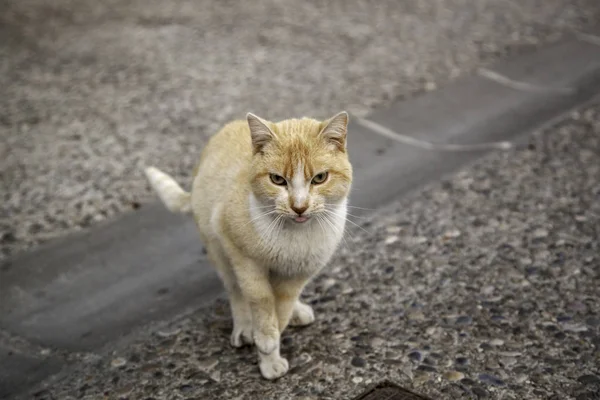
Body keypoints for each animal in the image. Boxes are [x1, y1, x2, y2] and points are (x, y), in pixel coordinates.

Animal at [144, 111, 352, 380]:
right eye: (277, 180)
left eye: (319, 178)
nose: (299, 207)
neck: (294, 236)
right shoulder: (243, 257)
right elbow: (259, 301)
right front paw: (266, 348)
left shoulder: (299, 273)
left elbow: (282, 309)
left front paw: (272, 342)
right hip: (219, 250)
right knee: (235, 290)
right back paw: (244, 327)